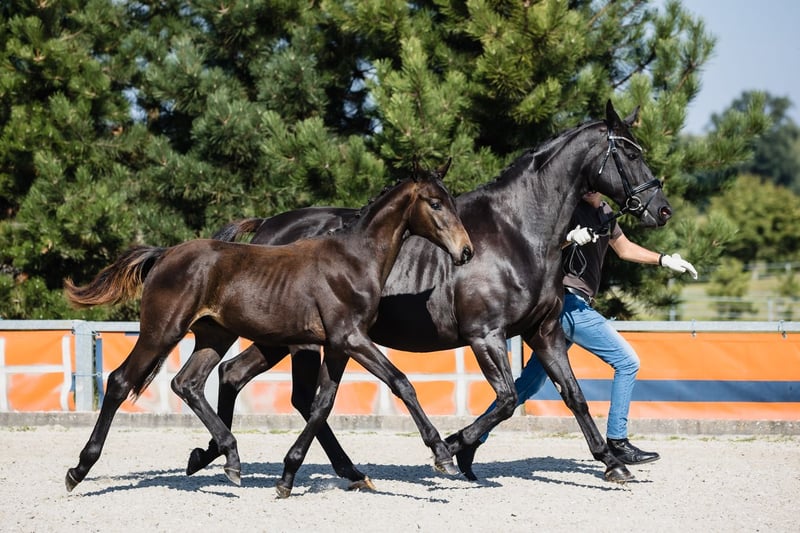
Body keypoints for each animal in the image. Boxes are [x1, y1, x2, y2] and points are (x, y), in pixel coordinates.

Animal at [62, 163, 474, 496]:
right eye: (435, 204)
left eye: (452, 203)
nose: (466, 252)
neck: (353, 261)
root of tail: (165, 255)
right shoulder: (351, 338)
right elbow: (401, 382)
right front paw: (443, 454)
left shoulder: (338, 345)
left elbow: (322, 404)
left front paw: (289, 477)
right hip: (161, 331)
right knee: (120, 381)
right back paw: (78, 469)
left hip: (214, 336)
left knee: (189, 383)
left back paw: (228, 457)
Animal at [187, 100, 673, 489]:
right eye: (630, 152)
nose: (661, 209)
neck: (517, 231)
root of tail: (266, 227)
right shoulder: (485, 335)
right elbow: (506, 399)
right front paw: (455, 447)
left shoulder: (546, 332)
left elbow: (572, 395)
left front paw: (612, 462)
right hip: (299, 342)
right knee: (292, 395)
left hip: (281, 340)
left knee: (236, 376)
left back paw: (225, 455)